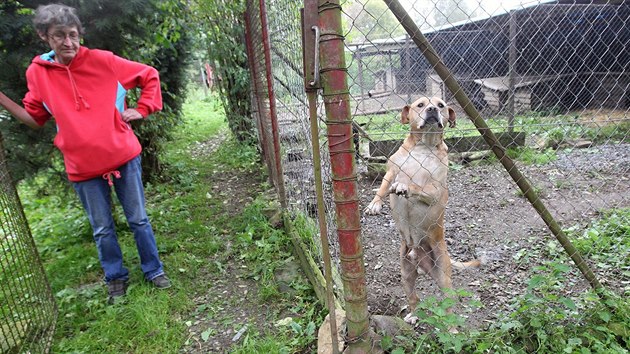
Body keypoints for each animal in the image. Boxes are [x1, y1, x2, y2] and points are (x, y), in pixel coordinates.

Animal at [362, 96, 482, 324]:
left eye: (441, 105)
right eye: (420, 104)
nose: (432, 109)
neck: (423, 148)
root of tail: (419, 259)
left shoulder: (435, 189)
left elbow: (416, 187)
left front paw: (405, 186)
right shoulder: (391, 171)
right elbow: (383, 187)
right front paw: (375, 203)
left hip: (443, 277)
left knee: (449, 307)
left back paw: (451, 328)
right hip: (406, 275)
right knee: (414, 298)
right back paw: (413, 315)